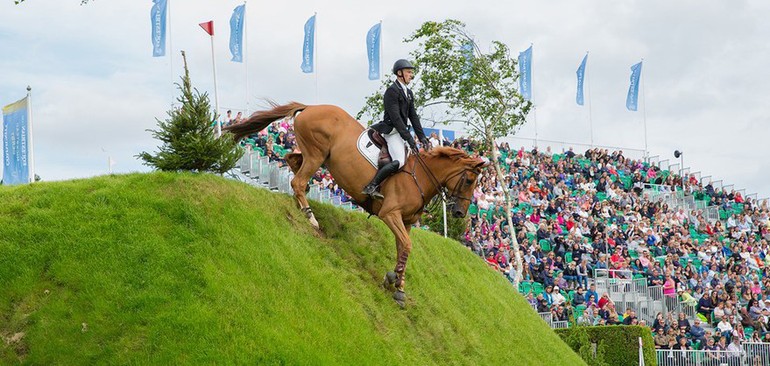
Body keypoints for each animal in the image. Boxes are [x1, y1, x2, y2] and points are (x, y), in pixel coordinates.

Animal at [224, 102, 486, 306]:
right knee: (297, 181)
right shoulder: (390, 214)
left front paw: (398, 287)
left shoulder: (407, 223)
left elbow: (403, 249)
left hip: (314, 155)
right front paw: (394, 280)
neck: (419, 176)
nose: (460, 212)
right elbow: (407, 246)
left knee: (292, 161)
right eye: (469, 180)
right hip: (317, 154)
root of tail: (310, 107)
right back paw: (310, 216)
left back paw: (302, 200)